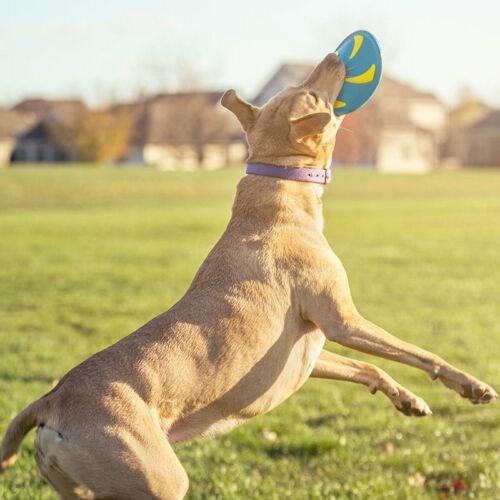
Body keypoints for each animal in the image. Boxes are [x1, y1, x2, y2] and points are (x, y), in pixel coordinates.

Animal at [1, 52, 498, 498]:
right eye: (312, 95)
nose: (335, 54)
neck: (278, 190)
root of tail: (51, 400)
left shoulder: (309, 351)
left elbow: (368, 366)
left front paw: (408, 399)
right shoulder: (344, 321)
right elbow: (419, 352)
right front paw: (471, 386)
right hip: (156, 479)